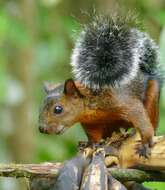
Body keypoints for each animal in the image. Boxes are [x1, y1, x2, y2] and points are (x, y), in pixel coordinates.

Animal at [38, 15, 162, 157]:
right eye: (40, 106)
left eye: (58, 109)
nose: (41, 128)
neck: (92, 105)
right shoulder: (90, 123)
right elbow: (93, 135)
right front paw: (91, 145)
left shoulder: (124, 103)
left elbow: (141, 119)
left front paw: (145, 144)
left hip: (152, 96)